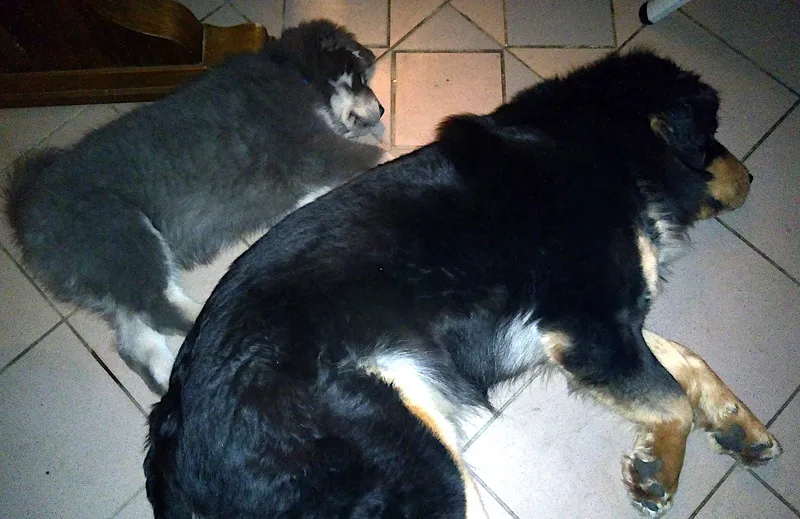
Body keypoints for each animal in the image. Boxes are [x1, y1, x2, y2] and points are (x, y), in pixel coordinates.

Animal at [4, 20, 384, 394]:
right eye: (361, 79)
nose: (381, 109)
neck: (293, 71)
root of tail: (25, 207)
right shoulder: (322, 152)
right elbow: (382, 156)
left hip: (114, 271)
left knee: (138, 338)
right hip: (125, 236)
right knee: (163, 309)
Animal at [144, 50, 782, 518]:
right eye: (713, 134)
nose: (755, 175)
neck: (593, 144)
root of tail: (172, 424)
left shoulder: (597, 328)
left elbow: (687, 363)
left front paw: (739, 426)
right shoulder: (591, 326)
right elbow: (671, 399)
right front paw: (661, 468)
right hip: (421, 466)